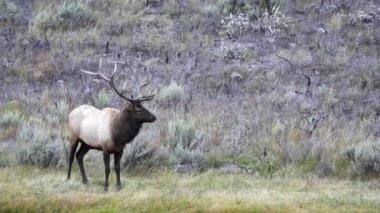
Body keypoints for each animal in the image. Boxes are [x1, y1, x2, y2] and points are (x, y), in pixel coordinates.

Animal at [67, 59, 156, 191]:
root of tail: (70, 113)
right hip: (73, 136)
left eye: (144, 106)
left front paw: (118, 186)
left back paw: (85, 180)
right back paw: (68, 178)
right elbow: (107, 169)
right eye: (138, 109)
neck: (118, 135)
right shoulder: (105, 147)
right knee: (71, 156)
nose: (154, 117)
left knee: (79, 156)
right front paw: (105, 187)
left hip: (87, 143)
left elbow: (117, 168)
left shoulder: (120, 149)